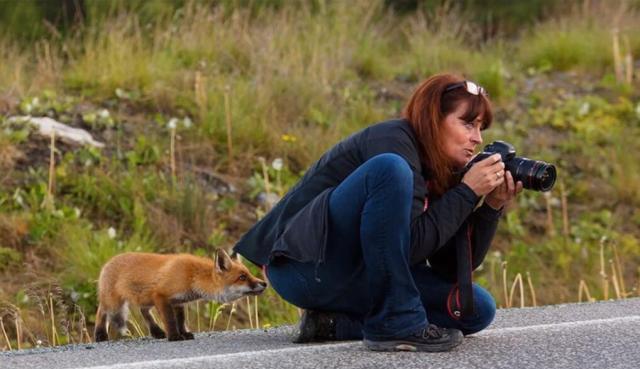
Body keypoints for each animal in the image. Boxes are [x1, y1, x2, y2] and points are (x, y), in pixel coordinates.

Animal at [94, 249, 266, 340]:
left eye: (249, 274)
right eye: (242, 277)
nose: (264, 283)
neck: (192, 277)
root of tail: (107, 262)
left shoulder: (178, 302)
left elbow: (181, 321)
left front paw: (184, 333)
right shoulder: (161, 296)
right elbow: (170, 320)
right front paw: (174, 336)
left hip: (144, 299)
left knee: (144, 312)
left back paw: (157, 332)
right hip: (114, 303)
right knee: (102, 312)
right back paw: (100, 335)